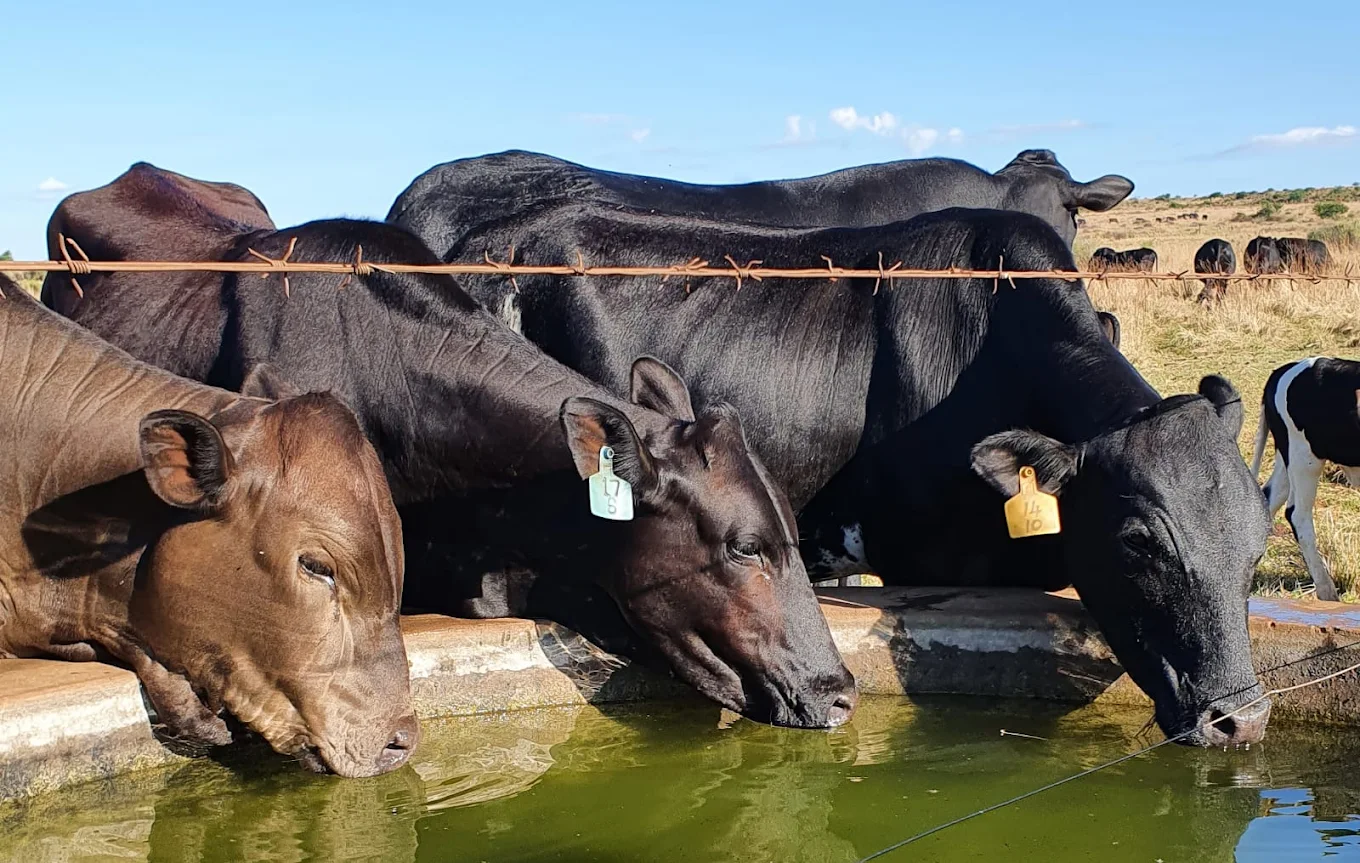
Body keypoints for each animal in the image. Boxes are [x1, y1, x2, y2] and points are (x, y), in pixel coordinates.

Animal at [1250, 357, 1360, 602]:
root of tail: (1283, 370)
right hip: (1304, 458)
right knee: (1297, 515)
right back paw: (1327, 591)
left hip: (1287, 458)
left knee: (1268, 498)